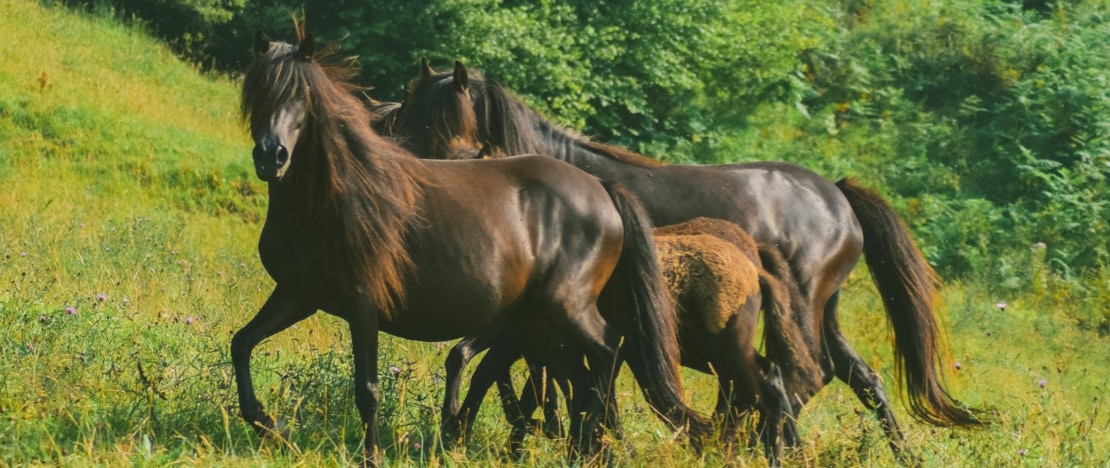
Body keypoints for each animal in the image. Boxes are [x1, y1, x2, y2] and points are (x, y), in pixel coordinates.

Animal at [231, 30, 710, 463]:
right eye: (257, 90)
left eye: (301, 96)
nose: (271, 156)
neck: (331, 199)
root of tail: (602, 188)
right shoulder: (298, 296)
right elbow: (242, 344)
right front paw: (273, 428)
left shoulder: (362, 304)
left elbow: (366, 389)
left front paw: (371, 456)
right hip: (538, 321)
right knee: (578, 373)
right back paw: (586, 446)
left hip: (566, 307)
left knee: (608, 351)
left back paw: (595, 443)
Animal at [444, 216, 825, 463]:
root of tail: (754, 269)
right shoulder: (536, 342)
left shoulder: (530, 339)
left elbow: (500, 377)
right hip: (719, 355)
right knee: (763, 386)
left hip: (722, 353)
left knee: (758, 393)